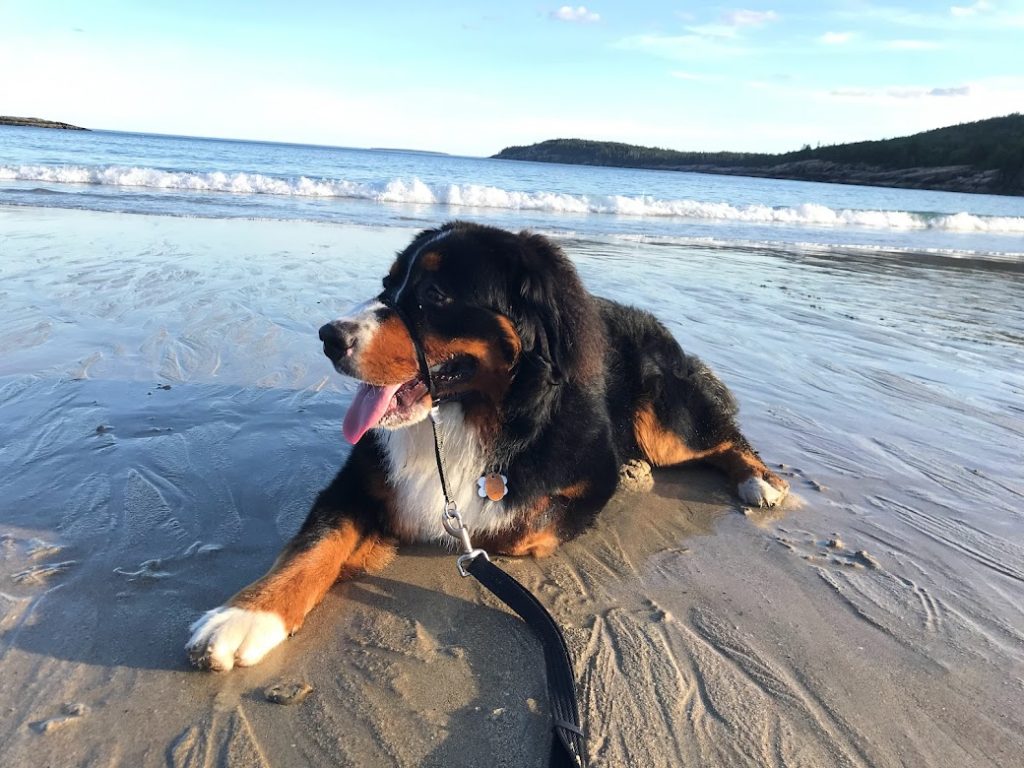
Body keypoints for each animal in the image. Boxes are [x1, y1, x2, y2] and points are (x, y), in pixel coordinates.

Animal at [186, 219, 790, 671]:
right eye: (387, 288)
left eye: (434, 295)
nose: (329, 337)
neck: (462, 418)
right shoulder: (357, 479)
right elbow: (313, 545)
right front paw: (246, 616)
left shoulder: (582, 479)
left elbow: (514, 527)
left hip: (665, 423)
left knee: (721, 436)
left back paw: (758, 480)